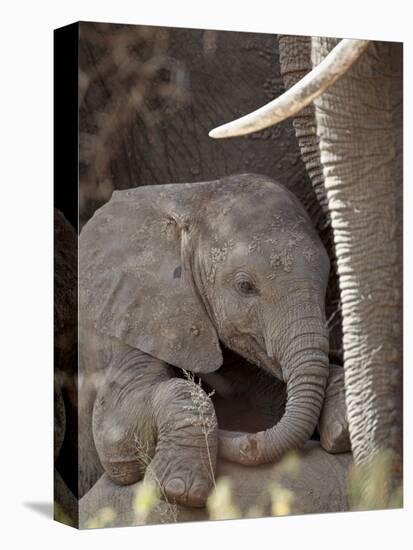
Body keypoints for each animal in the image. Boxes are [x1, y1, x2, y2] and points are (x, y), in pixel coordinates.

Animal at [78, 175, 348, 512]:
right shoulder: (131, 307)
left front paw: (342, 428)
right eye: (245, 286)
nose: (243, 440)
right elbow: (114, 429)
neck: (193, 198)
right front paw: (179, 490)